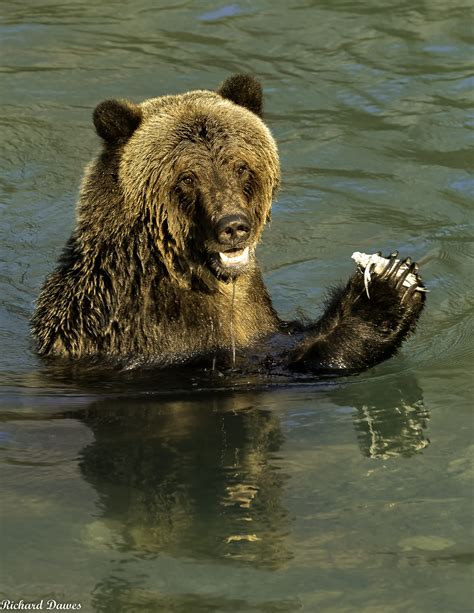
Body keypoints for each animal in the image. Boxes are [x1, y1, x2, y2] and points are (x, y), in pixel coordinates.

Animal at [31, 76, 428, 372]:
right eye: (187, 176)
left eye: (240, 165)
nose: (233, 225)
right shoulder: (149, 336)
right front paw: (385, 292)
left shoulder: (258, 321)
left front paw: (393, 276)